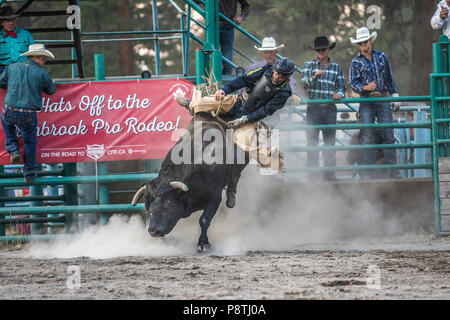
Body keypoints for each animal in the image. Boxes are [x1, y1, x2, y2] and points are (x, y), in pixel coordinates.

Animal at [130, 114, 250, 251]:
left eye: (167, 203)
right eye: (147, 205)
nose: (153, 231)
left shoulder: (214, 197)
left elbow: (204, 220)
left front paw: (203, 243)